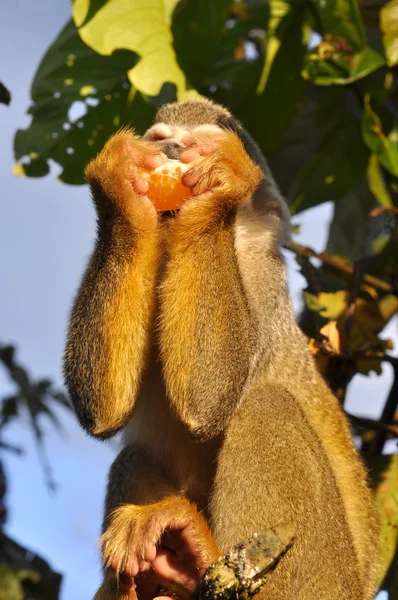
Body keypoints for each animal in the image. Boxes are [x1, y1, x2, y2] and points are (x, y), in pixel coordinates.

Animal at [63, 99, 378, 600]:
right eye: (160, 139)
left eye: (196, 145)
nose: (172, 149)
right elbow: (104, 411)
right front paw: (119, 188)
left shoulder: (259, 276)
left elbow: (208, 400)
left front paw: (220, 192)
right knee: (133, 454)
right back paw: (173, 568)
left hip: (322, 581)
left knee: (267, 406)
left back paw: (201, 553)